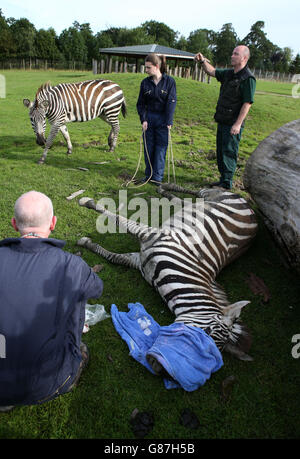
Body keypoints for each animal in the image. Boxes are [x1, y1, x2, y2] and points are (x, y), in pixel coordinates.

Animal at [77, 184, 258, 374]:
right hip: (211, 196)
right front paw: (86, 202)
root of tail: (253, 213)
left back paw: (164, 190)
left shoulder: (140, 260)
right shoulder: (151, 235)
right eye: (207, 331)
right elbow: (118, 218)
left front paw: (87, 243)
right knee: (195, 194)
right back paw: (164, 187)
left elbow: (115, 257)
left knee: (183, 202)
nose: (159, 369)